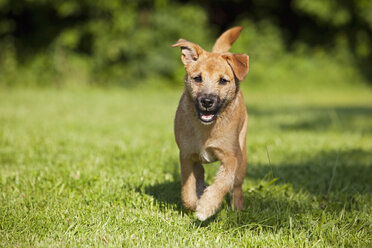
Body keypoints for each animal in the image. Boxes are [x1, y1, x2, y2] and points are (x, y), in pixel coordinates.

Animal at [172, 26, 248, 221]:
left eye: (223, 80)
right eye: (197, 78)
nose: (207, 101)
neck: (206, 130)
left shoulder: (231, 156)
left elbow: (223, 182)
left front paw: (206, 206)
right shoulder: (186, 155)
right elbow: (187, 187)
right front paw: (193, 203)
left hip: (242, 154)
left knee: (237, 186)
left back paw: (237, 209)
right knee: (199, 175)